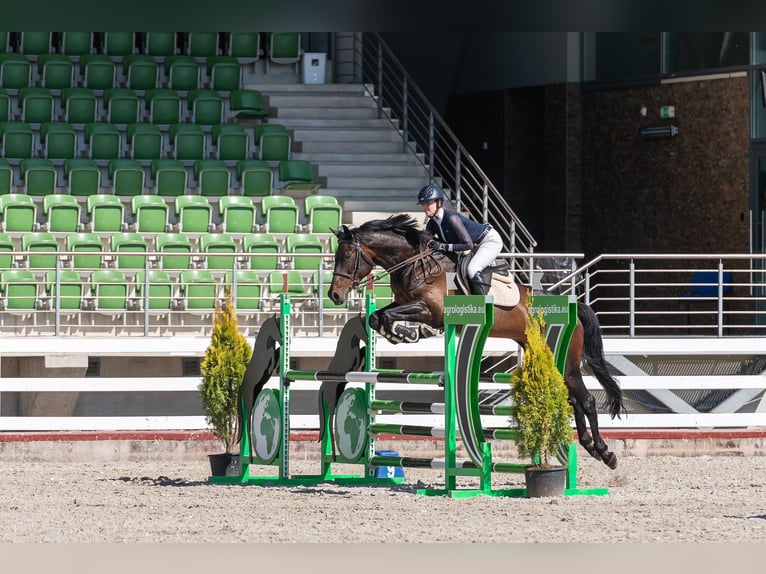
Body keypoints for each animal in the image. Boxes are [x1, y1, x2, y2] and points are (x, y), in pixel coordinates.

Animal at [328, 214, 624, 470]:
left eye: (347, 255)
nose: (334, 296)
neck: (414, 263)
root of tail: (574, 308)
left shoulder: (431, 311)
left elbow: (390, 316)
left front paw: (407, 333)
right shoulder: (406, 304)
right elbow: (377, 317)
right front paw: (402, 334)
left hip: (569, 363)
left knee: (586, 400)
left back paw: (605, 452)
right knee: (573, 400)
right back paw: (589, 446)